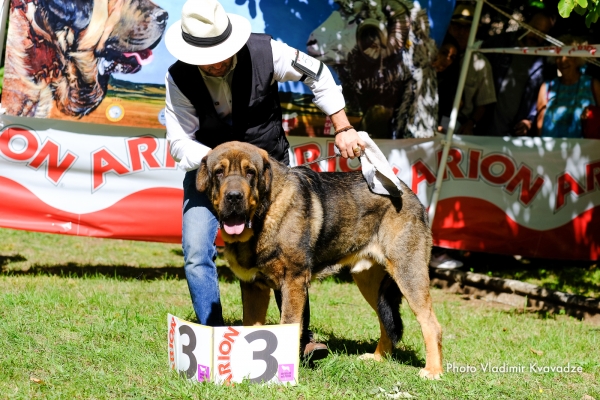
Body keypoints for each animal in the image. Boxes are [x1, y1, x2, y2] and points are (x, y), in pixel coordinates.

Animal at [199, 141, 442, 378]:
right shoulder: (253, 286)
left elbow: (288, 324)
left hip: (408, 273)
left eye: (250, 172)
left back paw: (432, 370)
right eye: (219, 172)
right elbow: (251, 327)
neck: (264, 215)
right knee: (386, 321)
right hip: (370, 283)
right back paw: (378, 358)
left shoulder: (293, 282)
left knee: (430, 323)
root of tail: (408, 193)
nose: (234, 197)